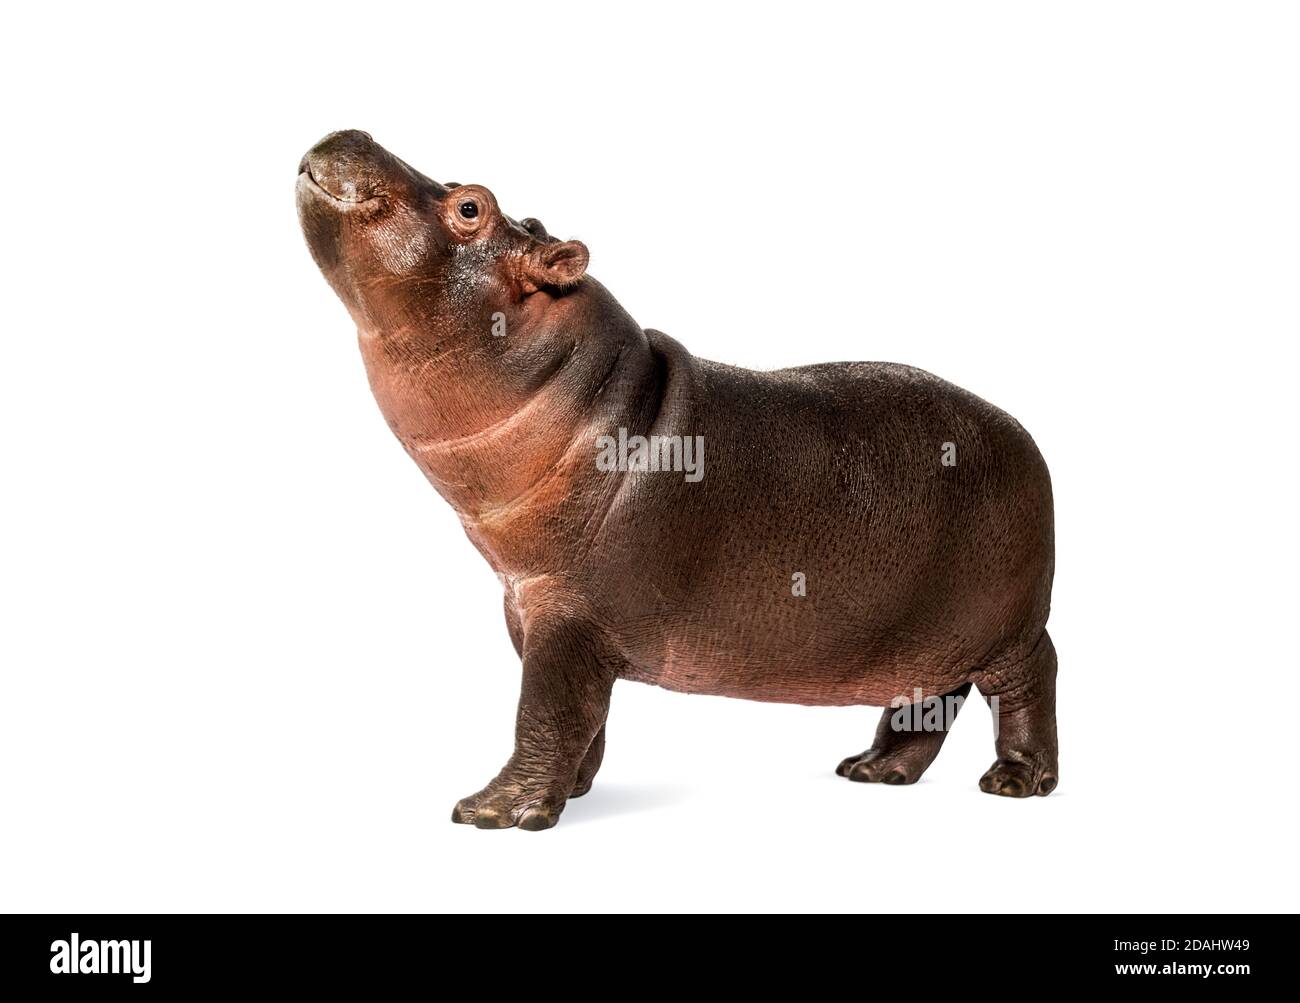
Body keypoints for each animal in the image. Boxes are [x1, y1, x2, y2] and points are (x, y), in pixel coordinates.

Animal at [292, 129, 1055, 831]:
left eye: (470, 206)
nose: (351, 134)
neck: (594, 396)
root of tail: (1026, 437)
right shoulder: (532, 607)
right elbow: (583, 715)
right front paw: (571, 792)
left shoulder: (567, 613)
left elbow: (544, 711)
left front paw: (493, 811)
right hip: (923, 635)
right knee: (931, 698)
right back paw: (874, 771)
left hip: (1010, 629)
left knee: (1031, 680)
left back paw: (1014, 783)